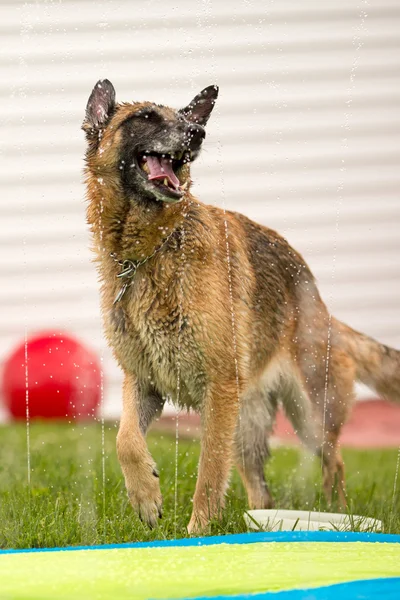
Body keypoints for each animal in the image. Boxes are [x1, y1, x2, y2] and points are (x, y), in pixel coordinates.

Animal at [81, 79, 400, 536]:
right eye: (144, 117)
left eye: (186, 119)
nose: (197, 133)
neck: (152, 252)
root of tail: (318, 299)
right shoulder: (143, 383)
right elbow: (125, 440)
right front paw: (145, 496)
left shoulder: (218, 391)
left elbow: (210, 472)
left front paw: (197, 533)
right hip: (248, 423)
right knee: (263, 492)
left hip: (308, 415)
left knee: (334, 463)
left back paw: (341, 516)